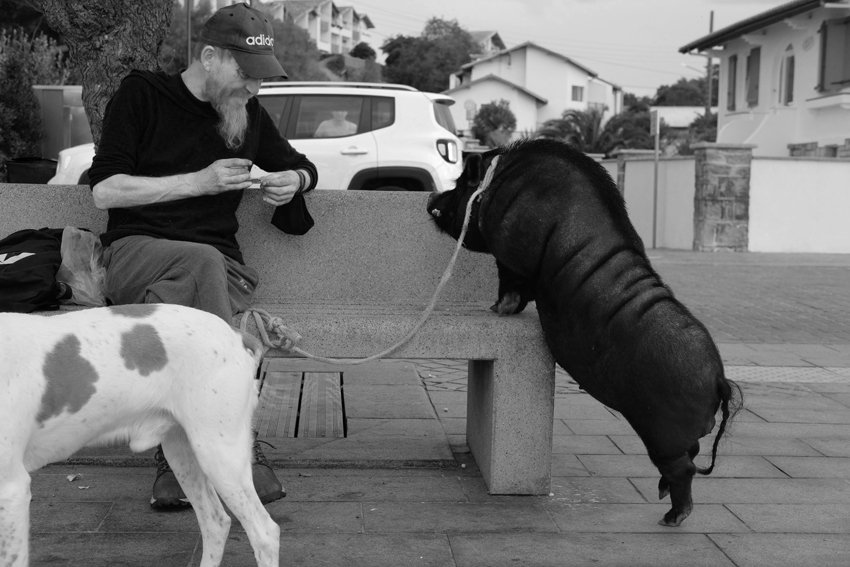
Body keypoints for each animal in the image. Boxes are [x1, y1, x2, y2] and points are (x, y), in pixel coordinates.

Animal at [428, 139, 740, 528]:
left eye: (460, 184)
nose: (431, 198)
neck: (497, 184)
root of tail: (719, 379)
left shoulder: (512, 257)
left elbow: (510, 284)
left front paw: (497, 310)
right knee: (689, 462)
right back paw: (662, 498)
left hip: (663, 431)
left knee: (684, 471)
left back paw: (670, 518)